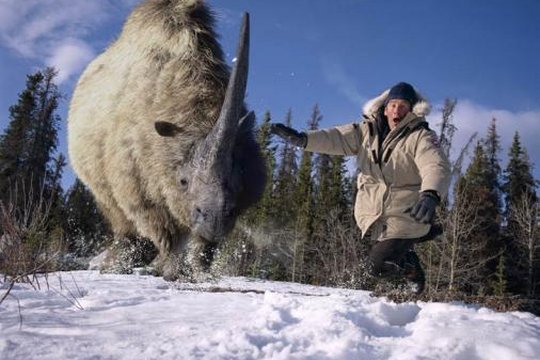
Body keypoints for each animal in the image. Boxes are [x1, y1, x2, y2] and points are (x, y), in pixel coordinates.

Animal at [67, 0, 266, 280]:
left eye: (238, 178)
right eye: (182, 181)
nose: (215, 220)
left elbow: (204, 246)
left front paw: (197, 271)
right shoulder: (138, 184)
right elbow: (164, 233)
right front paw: (169, 270)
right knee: (116, 213)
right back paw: (119, 264)